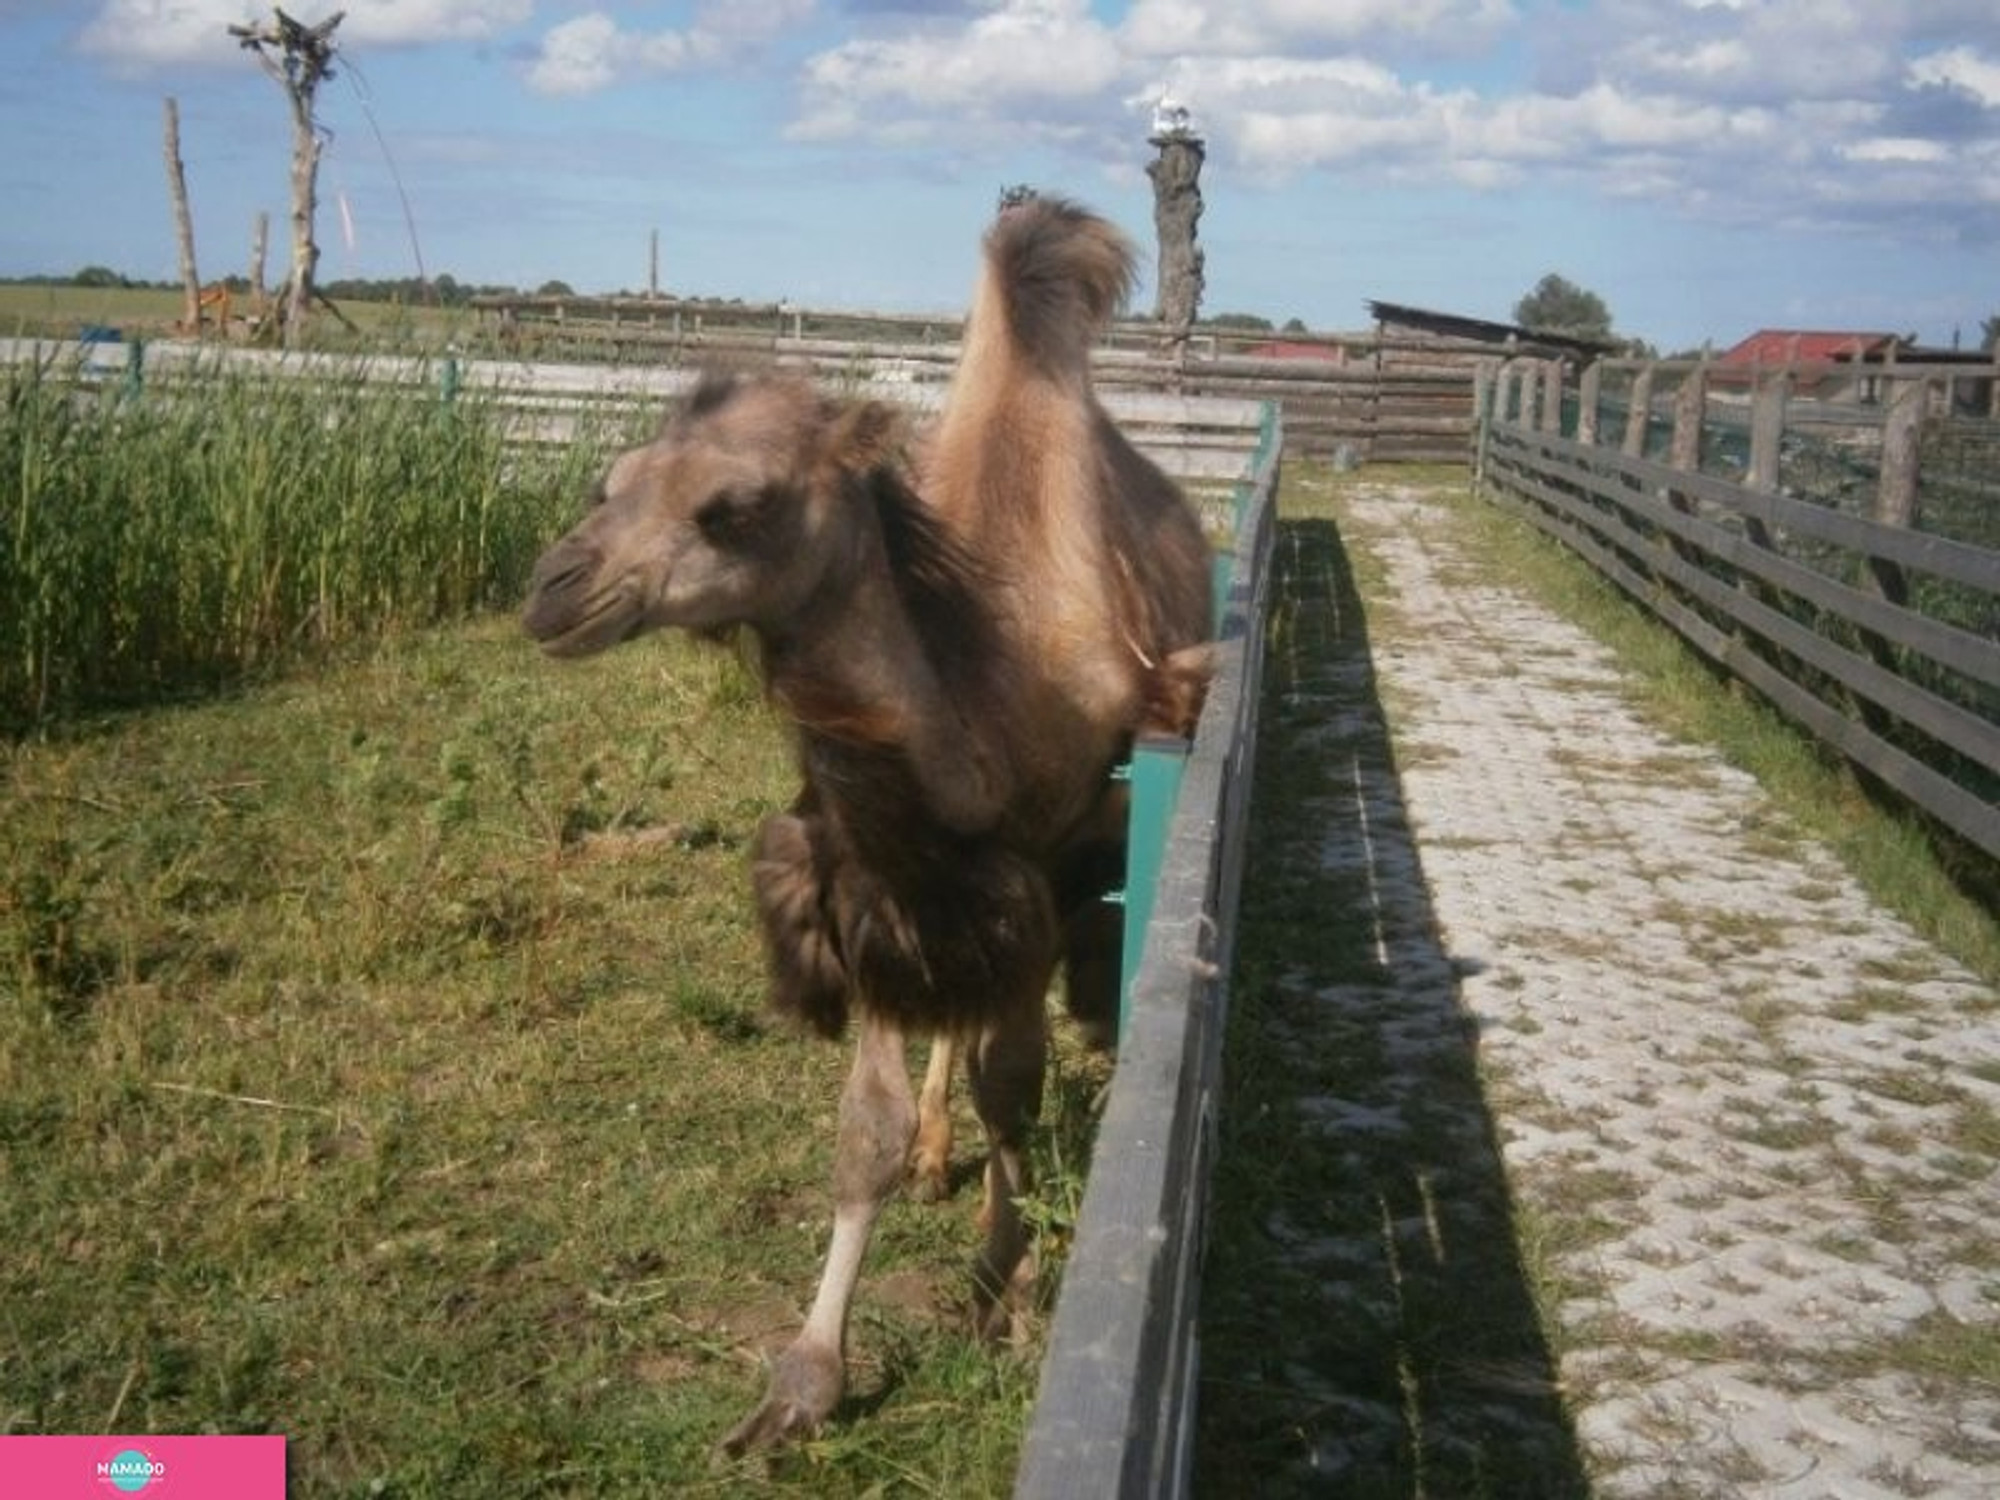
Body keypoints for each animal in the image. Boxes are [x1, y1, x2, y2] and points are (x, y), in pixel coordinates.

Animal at [516, 197, 1208, 1456]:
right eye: (611, 477)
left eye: (733, 506)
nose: (552, 591)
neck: (983, 708)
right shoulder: (880, 884)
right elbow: (867, 1130)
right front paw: (799, 1383)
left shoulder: (1038, 878)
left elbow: (1012, 1085)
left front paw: (1001, 1294)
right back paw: (939, 1162)